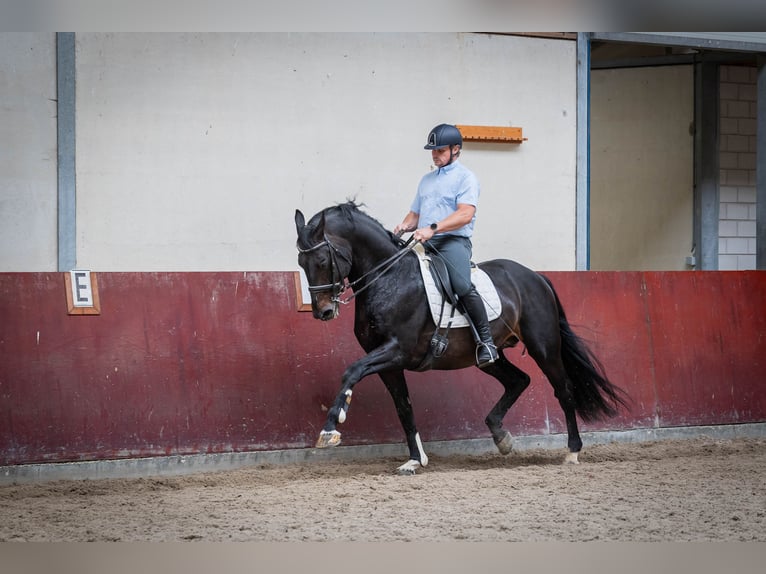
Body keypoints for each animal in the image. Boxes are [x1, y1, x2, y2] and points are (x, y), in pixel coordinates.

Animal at [296, 200, 632, 474]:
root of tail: (536, 277)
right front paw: (415, 460)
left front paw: (331, 428)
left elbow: (352, 371)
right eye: (301, 263)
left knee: (563, 391)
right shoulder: (389, 362)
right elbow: (403, 406)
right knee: (518, 380)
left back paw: (572, 451)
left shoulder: (397, 350)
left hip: (544, 348)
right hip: (488, 355)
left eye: (322, 261)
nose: (323, 311)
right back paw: (501, 436)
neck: (389, 278)